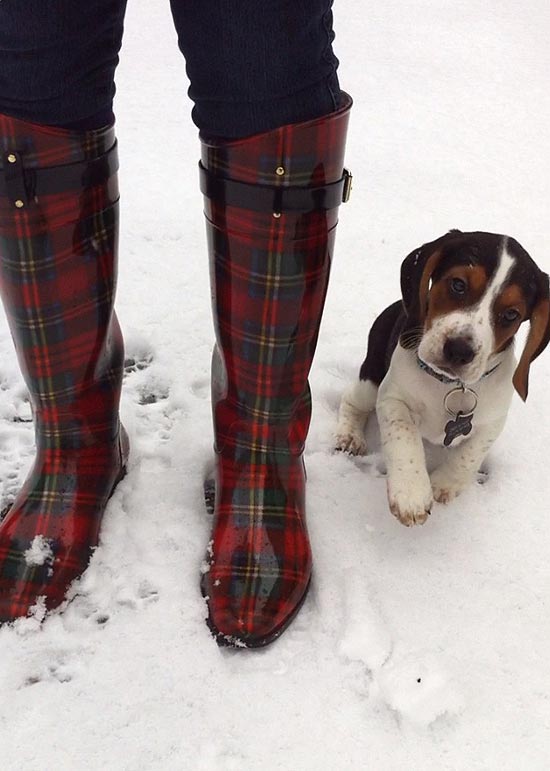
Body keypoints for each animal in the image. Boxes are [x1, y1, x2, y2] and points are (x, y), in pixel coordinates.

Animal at [336, 229, 550, 528]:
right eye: (458, 285)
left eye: (511, 314)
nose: (459, 351)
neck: (450, 385)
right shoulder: (393, 398)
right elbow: (405, 439)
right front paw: (412, 493)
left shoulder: (493, 420)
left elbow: (469, 455)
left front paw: (443, 485)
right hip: (371, 381)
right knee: (351, 400)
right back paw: (350, 437)